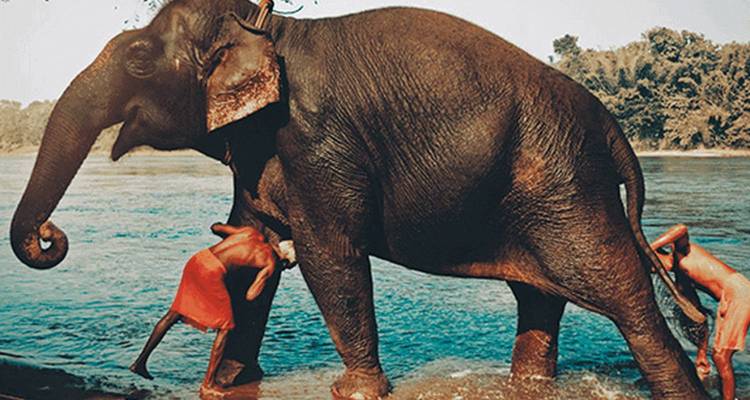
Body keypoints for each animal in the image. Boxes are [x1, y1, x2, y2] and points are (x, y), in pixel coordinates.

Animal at [10, 0, 709, 398]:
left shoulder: (317, 141)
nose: (50, 236)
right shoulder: (262, 151)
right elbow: (254, 243)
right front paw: (231, 385)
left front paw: (357, 390)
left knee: (622, 294)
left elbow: (330, 255)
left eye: (137, 60)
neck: (268, 27)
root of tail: (612, 125)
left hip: (565, 187)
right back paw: (530, 384)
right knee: (539, 298)